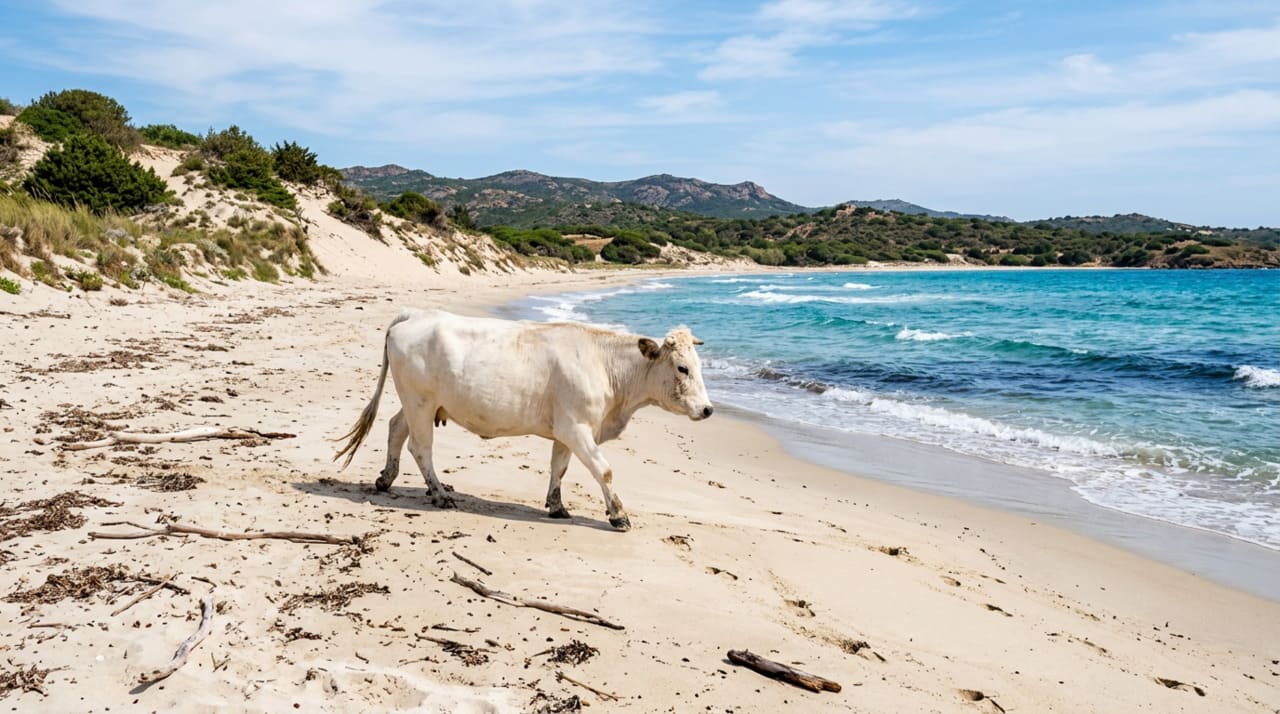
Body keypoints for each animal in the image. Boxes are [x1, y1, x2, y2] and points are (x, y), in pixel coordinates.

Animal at [334, 308, 713, 531]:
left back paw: (386, 479)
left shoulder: (565, 430)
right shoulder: (577, 427)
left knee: (396, 428)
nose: (709, 410)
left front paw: (557, 506)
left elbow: (559, 468)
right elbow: (603, 470)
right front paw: (618, 514)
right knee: (420, 446)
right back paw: (439, 494)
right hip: (420, 402)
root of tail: (412, 316)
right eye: (683, 368)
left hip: (420, 404)